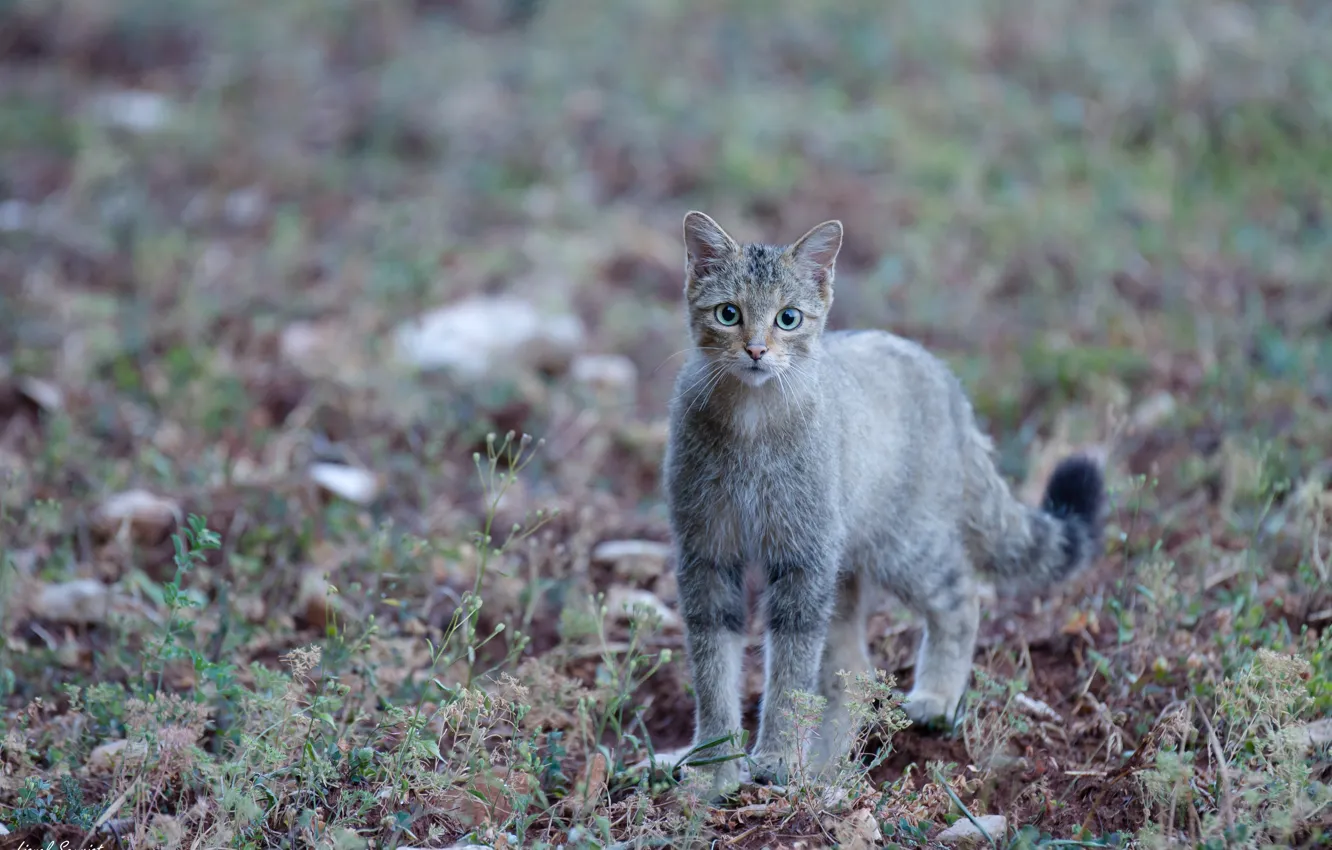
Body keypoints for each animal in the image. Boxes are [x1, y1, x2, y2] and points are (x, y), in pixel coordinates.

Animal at [660, 210, 1108, 794]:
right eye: (728, 314)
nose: (756, 350)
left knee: (961, 597)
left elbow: (790, 674)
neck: (751, 423)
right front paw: (714, 766)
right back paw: (829, 759)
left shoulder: (803, 560)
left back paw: (935, 699)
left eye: (788, 318)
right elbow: (714, 669)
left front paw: (776, 755)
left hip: (902, 547)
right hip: (847, 566)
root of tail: (949, 386)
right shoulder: (707, 554)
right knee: (852, 669)